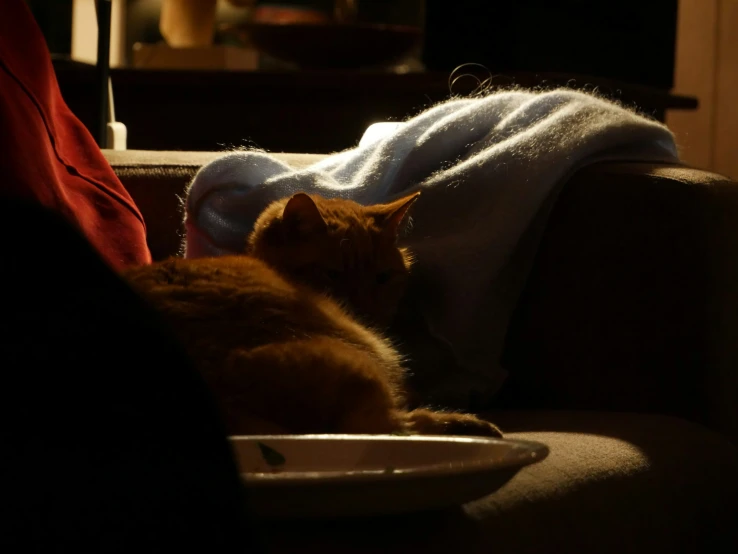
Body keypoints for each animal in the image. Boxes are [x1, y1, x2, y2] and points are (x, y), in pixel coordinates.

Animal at [123, 193, 500, 436]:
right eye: (332, 274)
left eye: (382, 278)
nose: (363, 308)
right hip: (360, 366)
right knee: (397, 428)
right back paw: (472, 426)